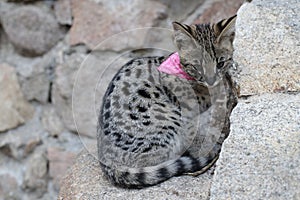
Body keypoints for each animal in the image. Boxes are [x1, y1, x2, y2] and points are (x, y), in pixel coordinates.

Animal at [97, 15, 238, 188]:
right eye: (197, 66)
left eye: (220, 63)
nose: (211, 81)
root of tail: (108, 163)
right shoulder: (189, 108)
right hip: (168, 119)